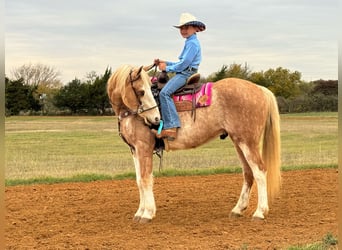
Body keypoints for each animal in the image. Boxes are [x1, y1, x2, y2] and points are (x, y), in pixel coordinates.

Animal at [107, 63, 280, 224]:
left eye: (147, 90)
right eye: (142, 92)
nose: (156, 119)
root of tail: (259, 89)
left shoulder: (144, 148)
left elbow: (145, 179)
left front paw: (147, 213)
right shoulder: (135, 150)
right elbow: (138, 181)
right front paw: (139, 212)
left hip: (248, 142)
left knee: (259, 171)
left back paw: (260, 212)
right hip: (239, 142)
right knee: (248, 172)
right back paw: (238, 209)